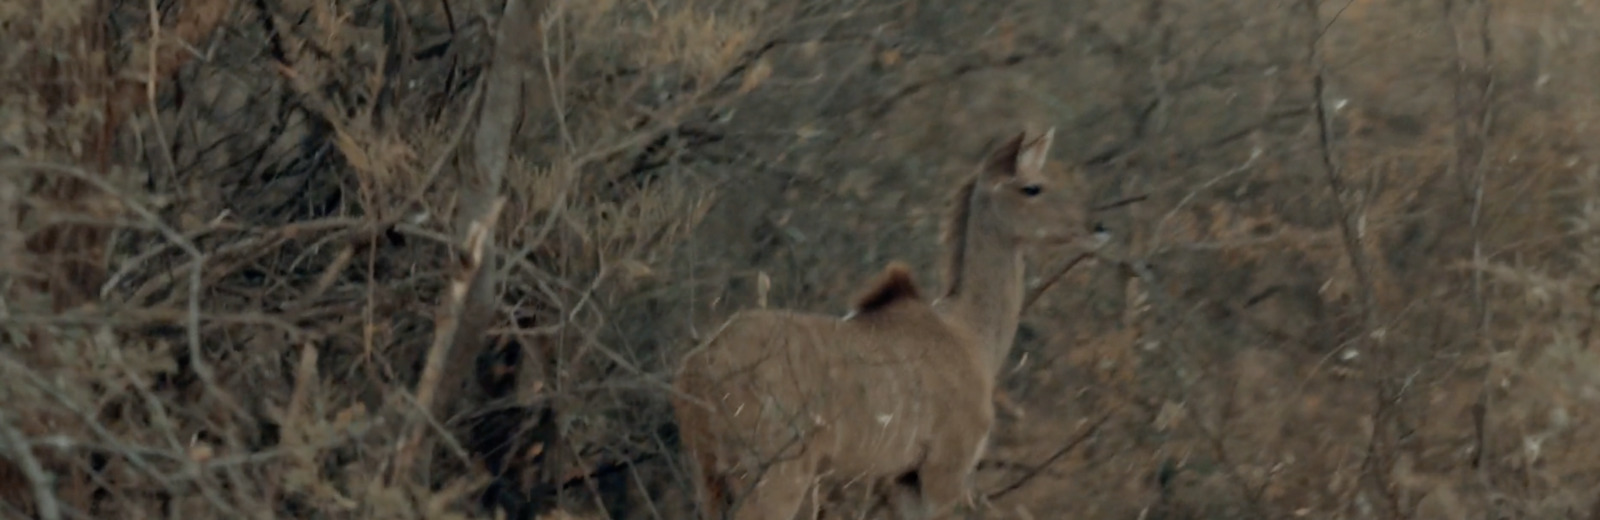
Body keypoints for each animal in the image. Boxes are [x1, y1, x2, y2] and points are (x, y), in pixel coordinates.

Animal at [668, 126, 1107, 518]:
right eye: (1032, 187)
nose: (1098, 227)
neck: (968, 333)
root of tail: (698, 368)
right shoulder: (943, 471)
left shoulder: (901, 479)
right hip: (775, 477)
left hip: (709, 477)